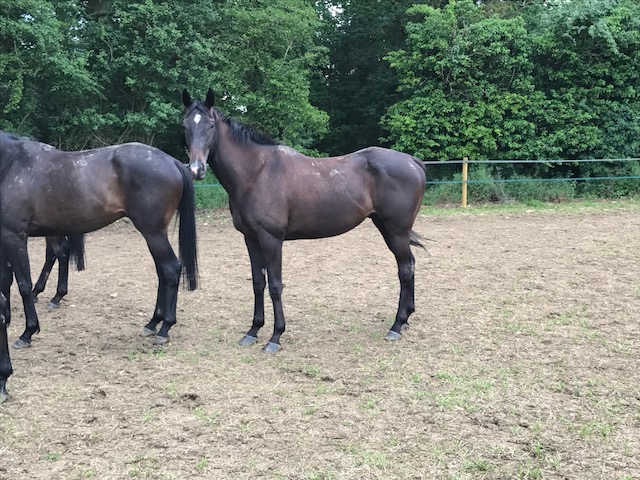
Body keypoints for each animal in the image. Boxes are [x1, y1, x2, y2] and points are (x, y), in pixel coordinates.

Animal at [182, 89, 428, 352]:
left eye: (210, 126)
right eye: (185, 126)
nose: (196, 169)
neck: (256, 172)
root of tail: (413, 161)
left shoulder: (271, 239)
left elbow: (275, 286)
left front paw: (275, 337)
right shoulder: (250, 239)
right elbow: (258, 283)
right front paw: (253, 331)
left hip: (396, 230)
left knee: (405, 269)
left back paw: (396, 325)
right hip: (386, 227)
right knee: (409, 265)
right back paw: (405, 320)